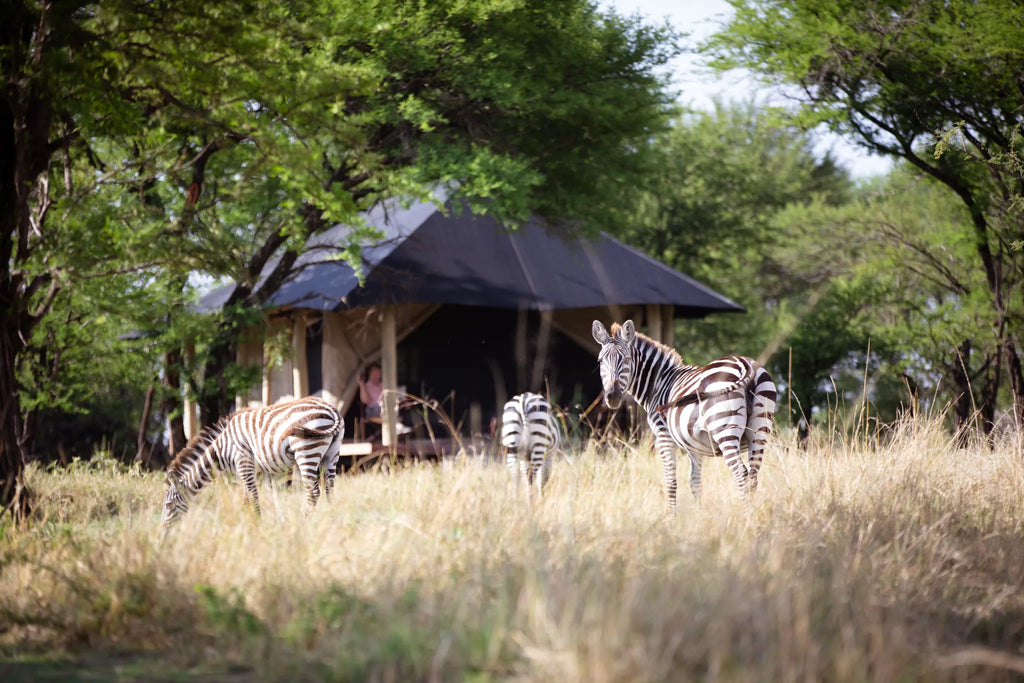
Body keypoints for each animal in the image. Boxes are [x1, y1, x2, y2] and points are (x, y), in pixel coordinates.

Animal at [161, 396, 344, 528]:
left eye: (169, 505)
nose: (163, 533)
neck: (221, 448)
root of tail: (331, 409)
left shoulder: (243, 463)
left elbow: (253, 497)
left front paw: (257, 525)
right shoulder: (257, 470)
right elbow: (255, 498)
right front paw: (255, 523)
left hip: (307, 451)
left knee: (313, 492)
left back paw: (303, 524)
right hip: (332, 454)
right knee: (330, 491)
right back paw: (333, 523)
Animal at [592, 319, 777, 510]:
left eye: (626, 359)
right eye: (600, 361)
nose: (612, 396)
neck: (658, 383)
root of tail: (744, 363)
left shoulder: (663, 435)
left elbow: (670, 481)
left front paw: (671, 515)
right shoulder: (694, 445)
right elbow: (695, 483)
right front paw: (701, 514)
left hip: (724, 429)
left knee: (740, 472)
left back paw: (745, 514)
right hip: (759, 430)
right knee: (753, 475)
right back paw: (753, 513)